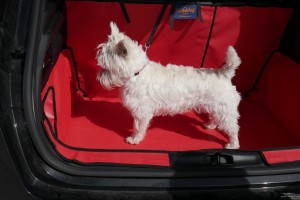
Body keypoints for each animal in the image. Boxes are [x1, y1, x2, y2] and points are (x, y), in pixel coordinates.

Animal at [96, 22, 241, 149]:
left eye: (106, 67)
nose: (98, 78)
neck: (137, 73)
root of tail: (223, 74)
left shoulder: (142, 111)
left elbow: (138, 127)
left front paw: (135, 139)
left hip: (224, 109)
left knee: (233, 128)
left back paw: (233, 144)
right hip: (214, 107)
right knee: (216, 118)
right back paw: (210, 125)